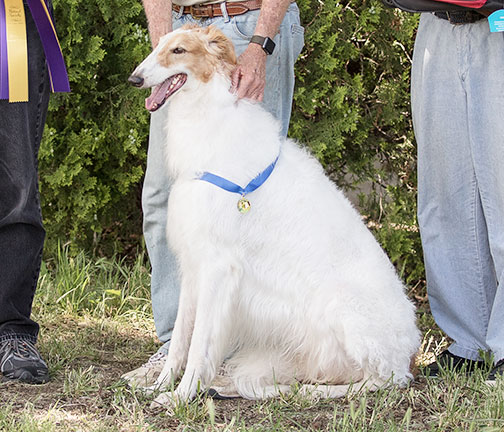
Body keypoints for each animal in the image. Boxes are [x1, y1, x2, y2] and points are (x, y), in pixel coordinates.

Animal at [130, 26, 422, 404]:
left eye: (179, 50)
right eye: (159, 46)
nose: (134, 79)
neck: (210, 120)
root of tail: (410, 352)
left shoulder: (218, 268)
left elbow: (198, 346)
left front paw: (180, 397)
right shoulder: (194, 265)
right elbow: (180, 340)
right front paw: (160, 387)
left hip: (348, 321)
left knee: (380, 381)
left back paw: (307, 392)